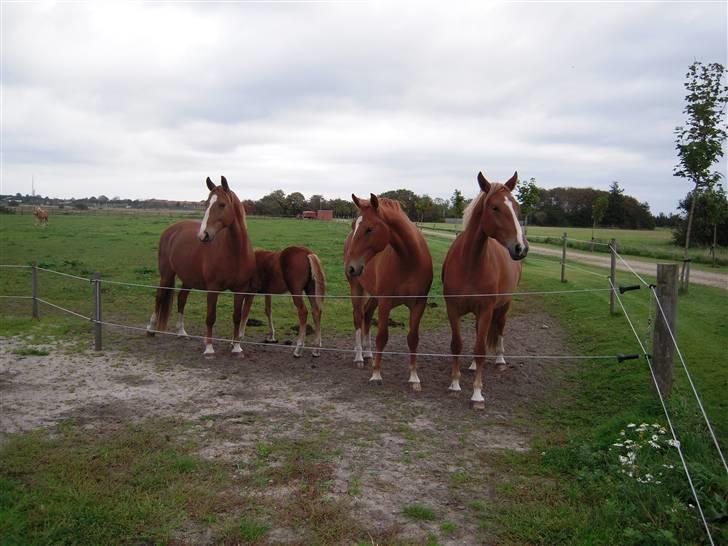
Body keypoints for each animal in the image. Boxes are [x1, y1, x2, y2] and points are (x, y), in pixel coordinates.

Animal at [146, 173, 258, 352]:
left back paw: (181, 332)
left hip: (188, 278)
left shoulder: (241, 290)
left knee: (181, 298)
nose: (203, 235)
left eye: (222, 204)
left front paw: (236, 347)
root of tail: (171, 230)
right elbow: (211, 317)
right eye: (206, 204)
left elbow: (237, 317)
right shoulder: (213, 289)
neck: (235, 252)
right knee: (160, 296)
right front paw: (209, 348)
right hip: (166, 274)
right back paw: (151, 328)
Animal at [342, 193, 432, 388]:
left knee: (367, 314)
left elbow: (413, 338)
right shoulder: (385, 302)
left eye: (369, 229)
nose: (350, 267)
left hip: (373, 295)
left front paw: (414, 377)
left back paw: (368, 354)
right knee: (358, 316)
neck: (408, 261)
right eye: (354, 226)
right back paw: (359, 357)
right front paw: (376, 374)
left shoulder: (419, 304)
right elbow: (382, 337)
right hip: (357, 288)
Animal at [440, 172, 528, 406]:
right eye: (495, 207)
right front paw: (454, 384)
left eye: (517, 207)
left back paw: (499, 360)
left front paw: (477, 394)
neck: (470, 263)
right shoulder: (452, 309)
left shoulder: (487, 309)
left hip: (504, 305)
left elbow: (480, 349)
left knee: (499, 329)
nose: (521, 247)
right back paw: (471, 366)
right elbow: (457, 345)